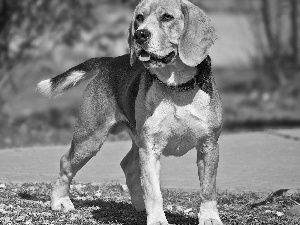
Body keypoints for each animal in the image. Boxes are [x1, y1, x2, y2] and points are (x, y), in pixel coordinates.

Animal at [37, 0, 223, 224]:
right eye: (139, 18)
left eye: (167, 17)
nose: (140, 35)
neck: (175, 87)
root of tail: (111, 61)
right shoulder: (150, 149)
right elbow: (154, 192)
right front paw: (157, 220)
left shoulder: (209, 146)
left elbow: (208, 189)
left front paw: (210, 218)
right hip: (90, 139)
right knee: (66, 162)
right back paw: (60, 202)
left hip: (132, 140)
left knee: (128, 165)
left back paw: (140, 205)